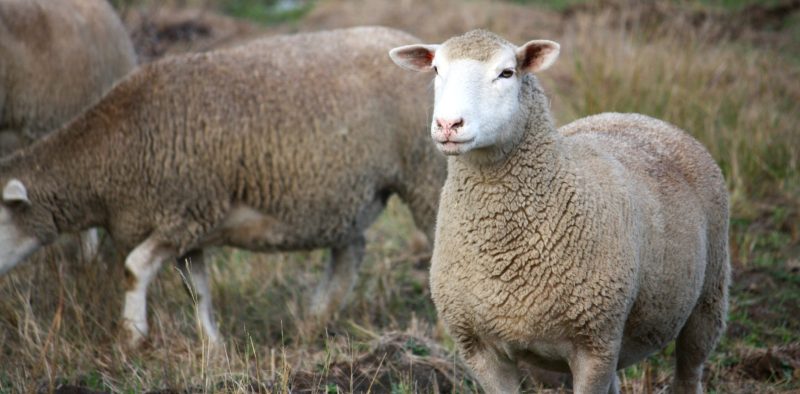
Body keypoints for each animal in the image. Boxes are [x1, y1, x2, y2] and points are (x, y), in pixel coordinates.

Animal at [0, 26, 444, 346]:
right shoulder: (188, 230)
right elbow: (197, 290)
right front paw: (212, 345)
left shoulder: (184, 210)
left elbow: (132, 268)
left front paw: (132, 336)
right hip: (346, 196)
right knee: (349, 254)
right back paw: (312, 323)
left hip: (424, 173)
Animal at [390, 30, 732, 394]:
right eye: (436, 70)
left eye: (507, 73)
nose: (448, 124)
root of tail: (639, 117)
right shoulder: (479, 347)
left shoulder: (594, 343)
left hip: (708, 297)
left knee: (690, 368)